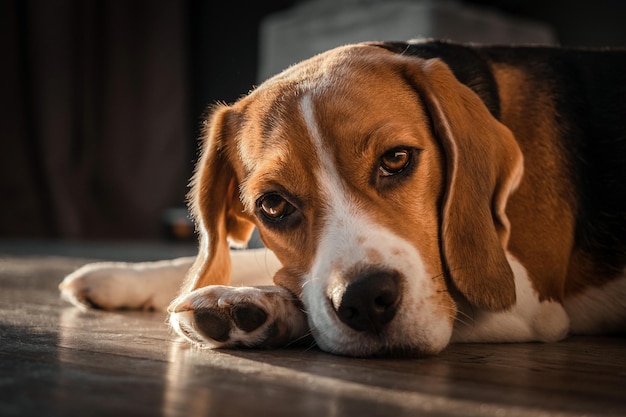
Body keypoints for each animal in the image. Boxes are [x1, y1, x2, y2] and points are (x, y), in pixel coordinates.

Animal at [59, 39, 624, 356]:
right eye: (272, 205)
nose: (366, 301)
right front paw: (124, 278)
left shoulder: (530, 301)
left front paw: (255, 307)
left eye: (397, 159)